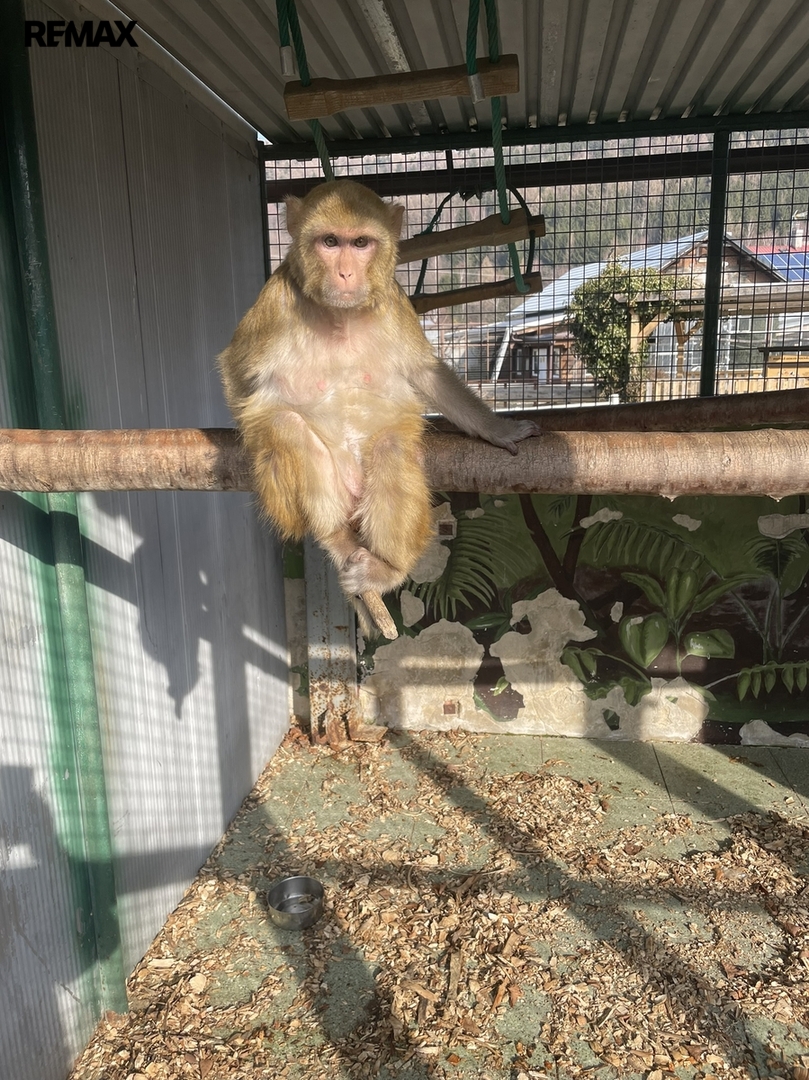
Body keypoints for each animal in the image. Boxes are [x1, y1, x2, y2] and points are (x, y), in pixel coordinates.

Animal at [218, 179, 536, 634]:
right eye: (330, 242)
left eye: (361, 243)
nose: (346, 273)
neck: (340, 317)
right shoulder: (273, 304)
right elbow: (235, 372)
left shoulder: (394, 303)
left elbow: (426, 374)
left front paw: (498, 430)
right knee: (287, 428)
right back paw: (334, 536)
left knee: (391, 450)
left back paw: (387, 569)